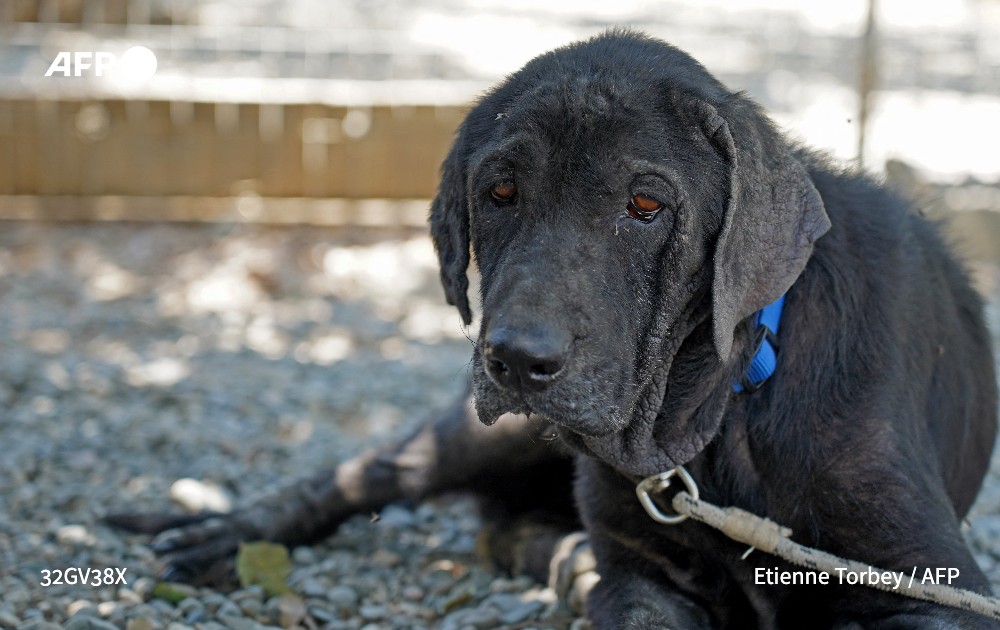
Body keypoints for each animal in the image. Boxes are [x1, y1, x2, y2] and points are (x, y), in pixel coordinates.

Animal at [113, 32, 996, 628]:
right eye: (500, 192)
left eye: (646, 205)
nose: (516, 360)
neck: (728, 401)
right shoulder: (642, 579)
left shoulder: (931, 586)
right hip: (480, 434)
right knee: (365, 477)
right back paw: (222, 534)